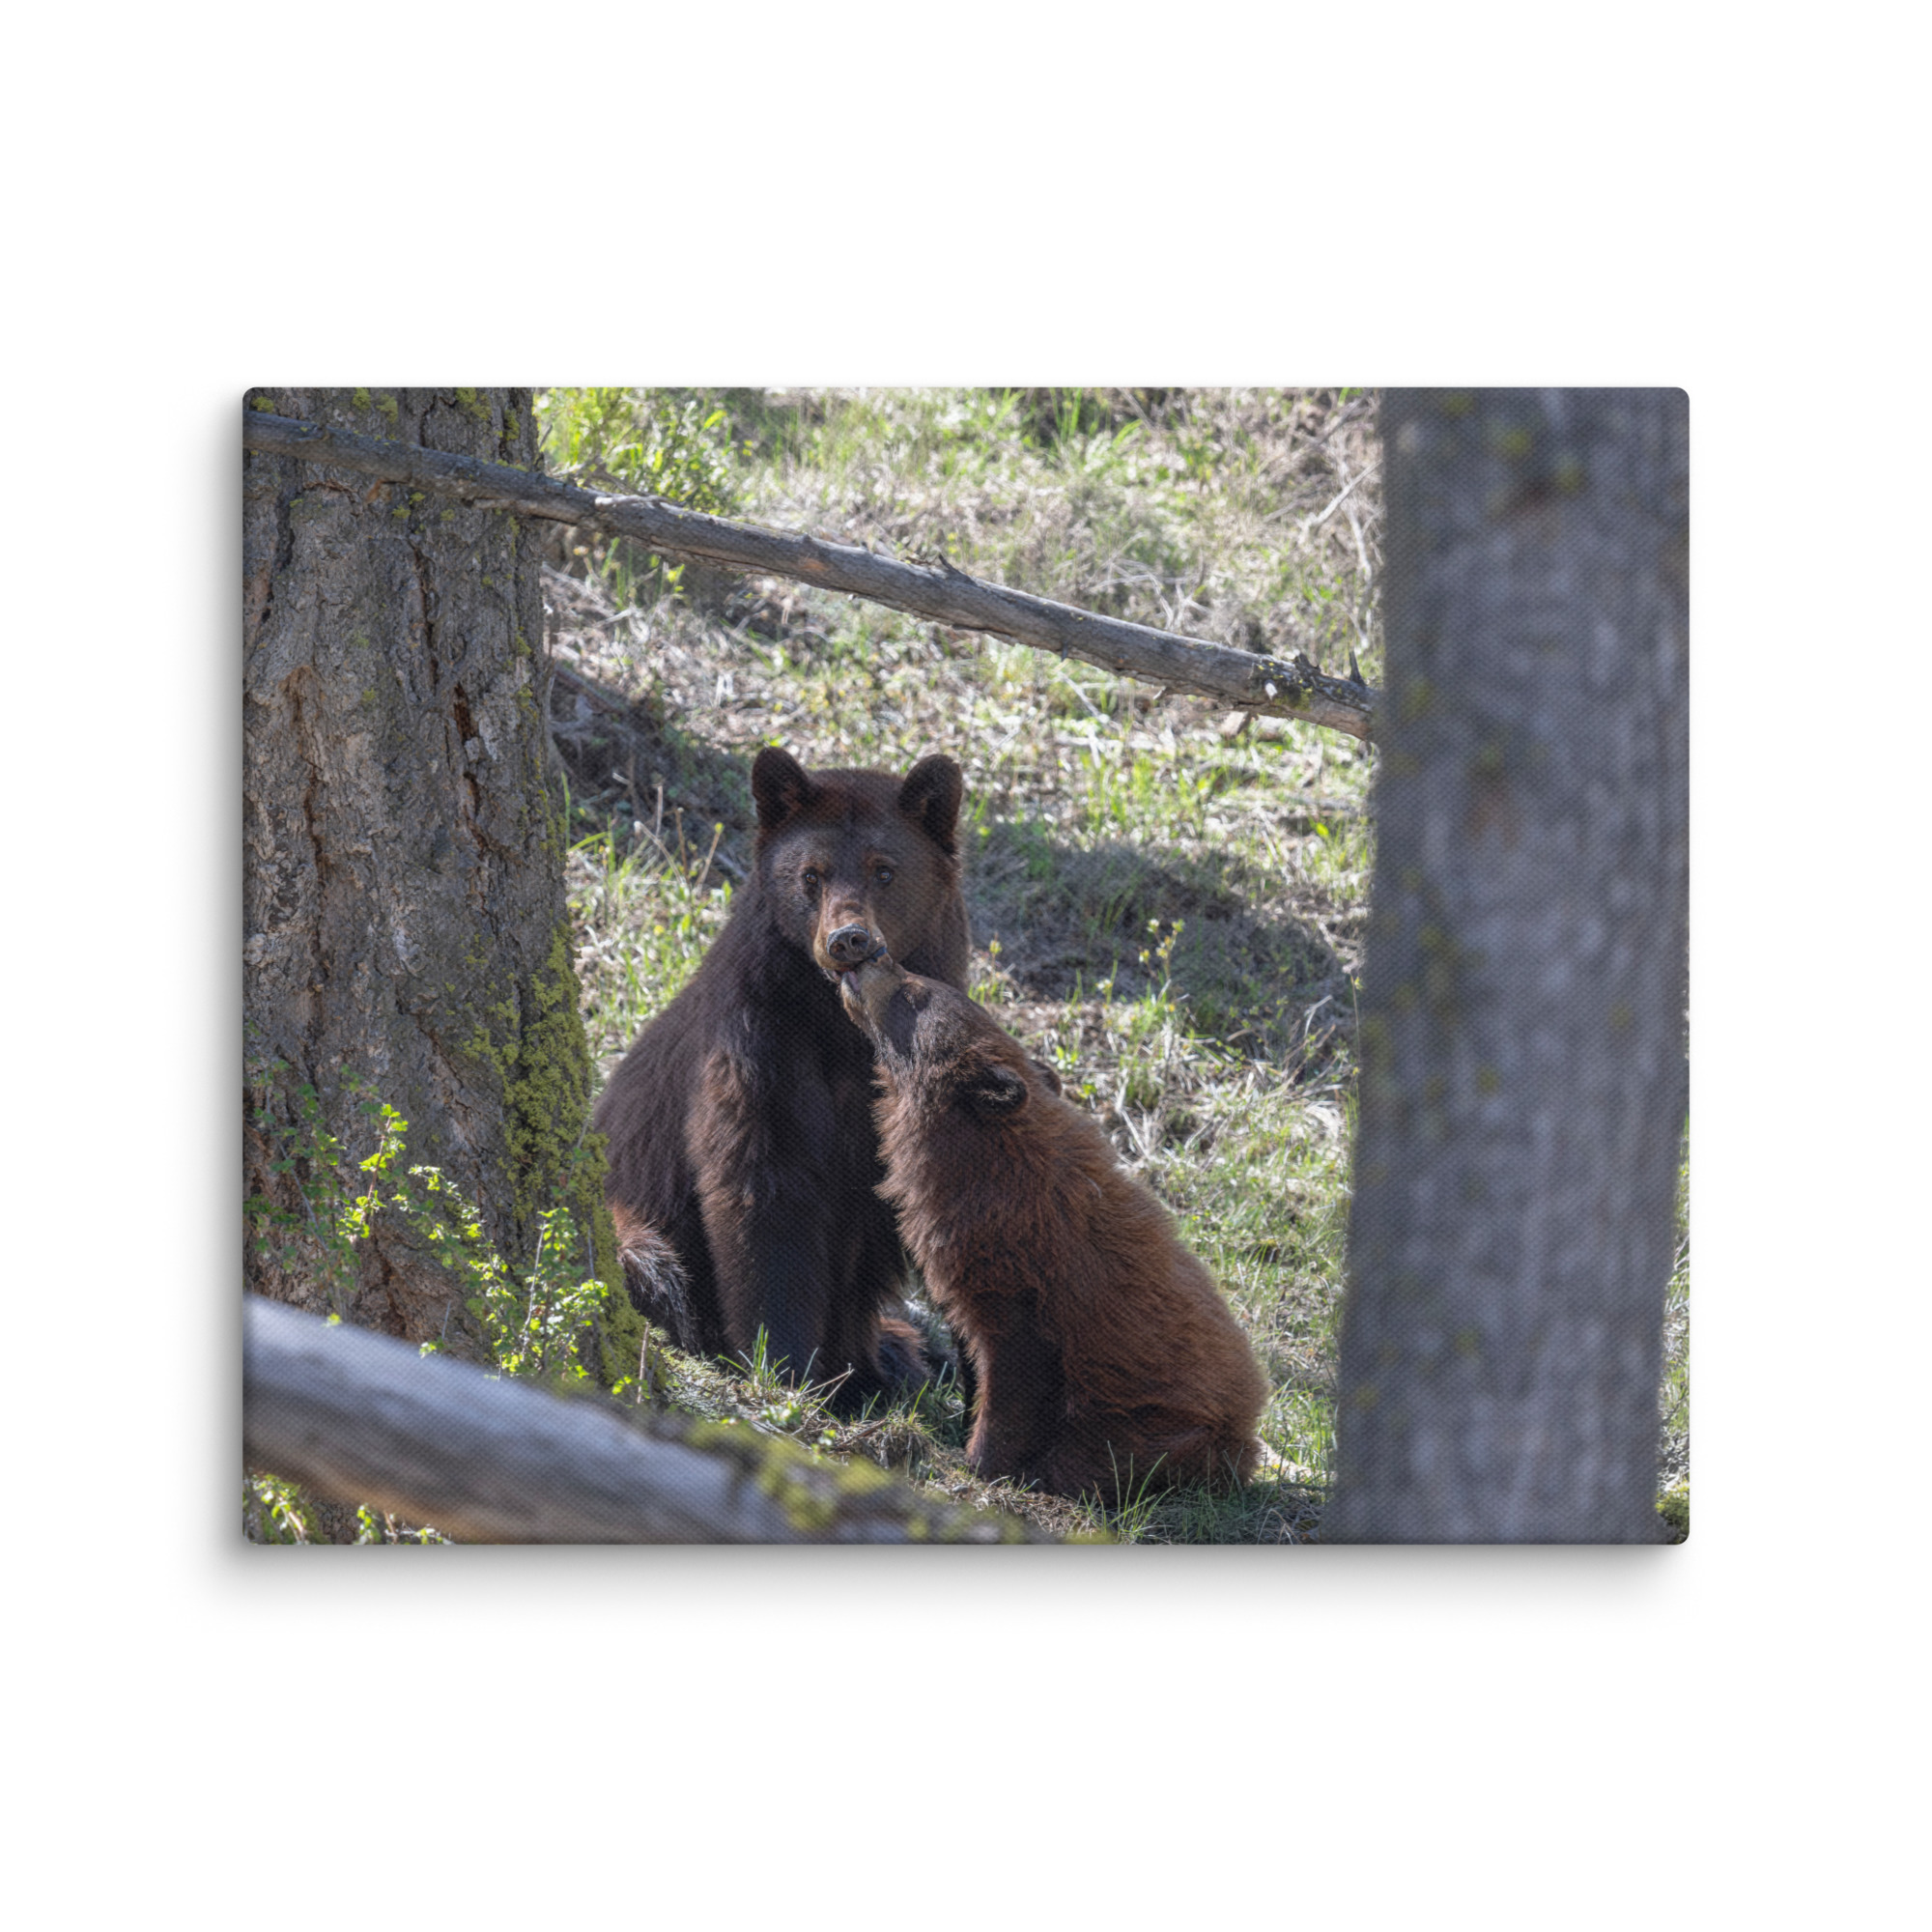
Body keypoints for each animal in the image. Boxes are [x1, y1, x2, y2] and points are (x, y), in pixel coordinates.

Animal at [593, 746, 972, 1411]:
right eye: (811, 875)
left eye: (884, 871)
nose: (848, 939)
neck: (841, 1028)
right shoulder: (757, 1048)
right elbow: (763, 1193)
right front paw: (787, 1367)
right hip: (631, 1222)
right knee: (654, 1266)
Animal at [835, 941, 1268, 1500]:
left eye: (914, 992)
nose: (874, 953)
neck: (985, 1162)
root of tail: (1247, 1432)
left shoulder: (1023, 1276)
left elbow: (1015, 1372)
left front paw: (981, 1460)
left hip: (1160, 1431)